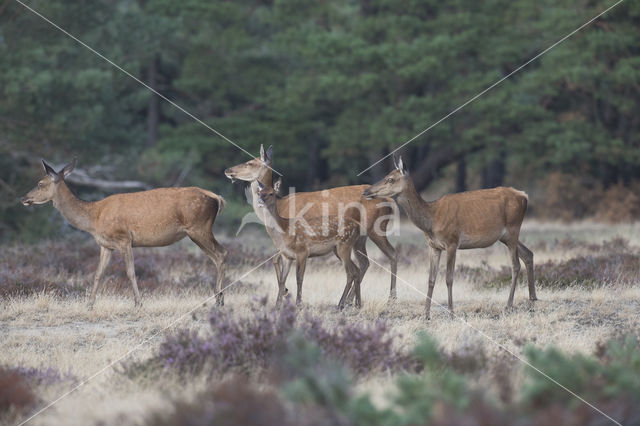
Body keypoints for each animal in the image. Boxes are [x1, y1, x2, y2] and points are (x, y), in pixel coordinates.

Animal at [21, 158, 228, 308]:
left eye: (40, 183)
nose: (24, 198)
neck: (93, 218)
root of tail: (217, 198)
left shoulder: (124, 238)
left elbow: (130, 272)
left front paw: (138, 303)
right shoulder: (106, 245)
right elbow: (98, 273)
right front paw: (89, 304)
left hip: (199, 227)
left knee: (221, 253)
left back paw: (219, 299)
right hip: (199, 230)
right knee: (217, 256)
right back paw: (219, 297)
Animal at [256, 181, 364, 310]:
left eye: (271, 193)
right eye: (259, 192)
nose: (259, 201)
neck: (284, 230)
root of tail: (358, 226)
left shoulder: (302, 251)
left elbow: (299, 278)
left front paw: (298, 304)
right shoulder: (287, 256)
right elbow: (282, 279)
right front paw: (277, 305)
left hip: (345, 244)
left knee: (350, 273)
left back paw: (340, 304)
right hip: (337, 249)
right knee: (356, 270)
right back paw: (357, 304)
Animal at [362, 158, 536, 318]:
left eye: (390, 179)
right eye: (386, 175)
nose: (366, 192)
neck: (431, 221)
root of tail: (524, 196)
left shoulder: (452, 242)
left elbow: (448, 278)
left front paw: (451, 312)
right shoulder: (433, 246)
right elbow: (431, 279)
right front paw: (426, 314)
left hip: (513, 228)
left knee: (515, 265)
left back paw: (509, 306)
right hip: (505, 236)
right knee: (528, 254)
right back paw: (532, 300)